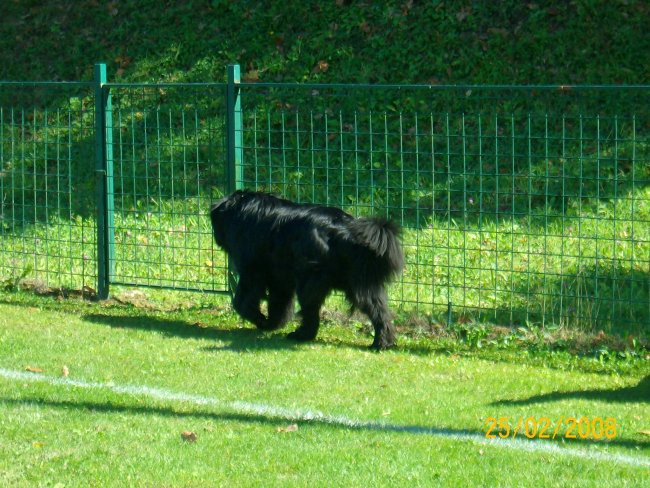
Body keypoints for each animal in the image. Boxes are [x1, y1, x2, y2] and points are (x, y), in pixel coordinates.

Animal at [209, 192, 400, 350]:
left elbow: (242, 301)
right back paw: (382, 343)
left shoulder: (252, 271)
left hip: (311, 279)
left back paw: (301, 335)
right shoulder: (279, 280)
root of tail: (345, 229)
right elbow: (279, 304)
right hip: (360, 283)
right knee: (379, 311)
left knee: (310, 311)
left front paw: (261, 320)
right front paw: (273, 324)